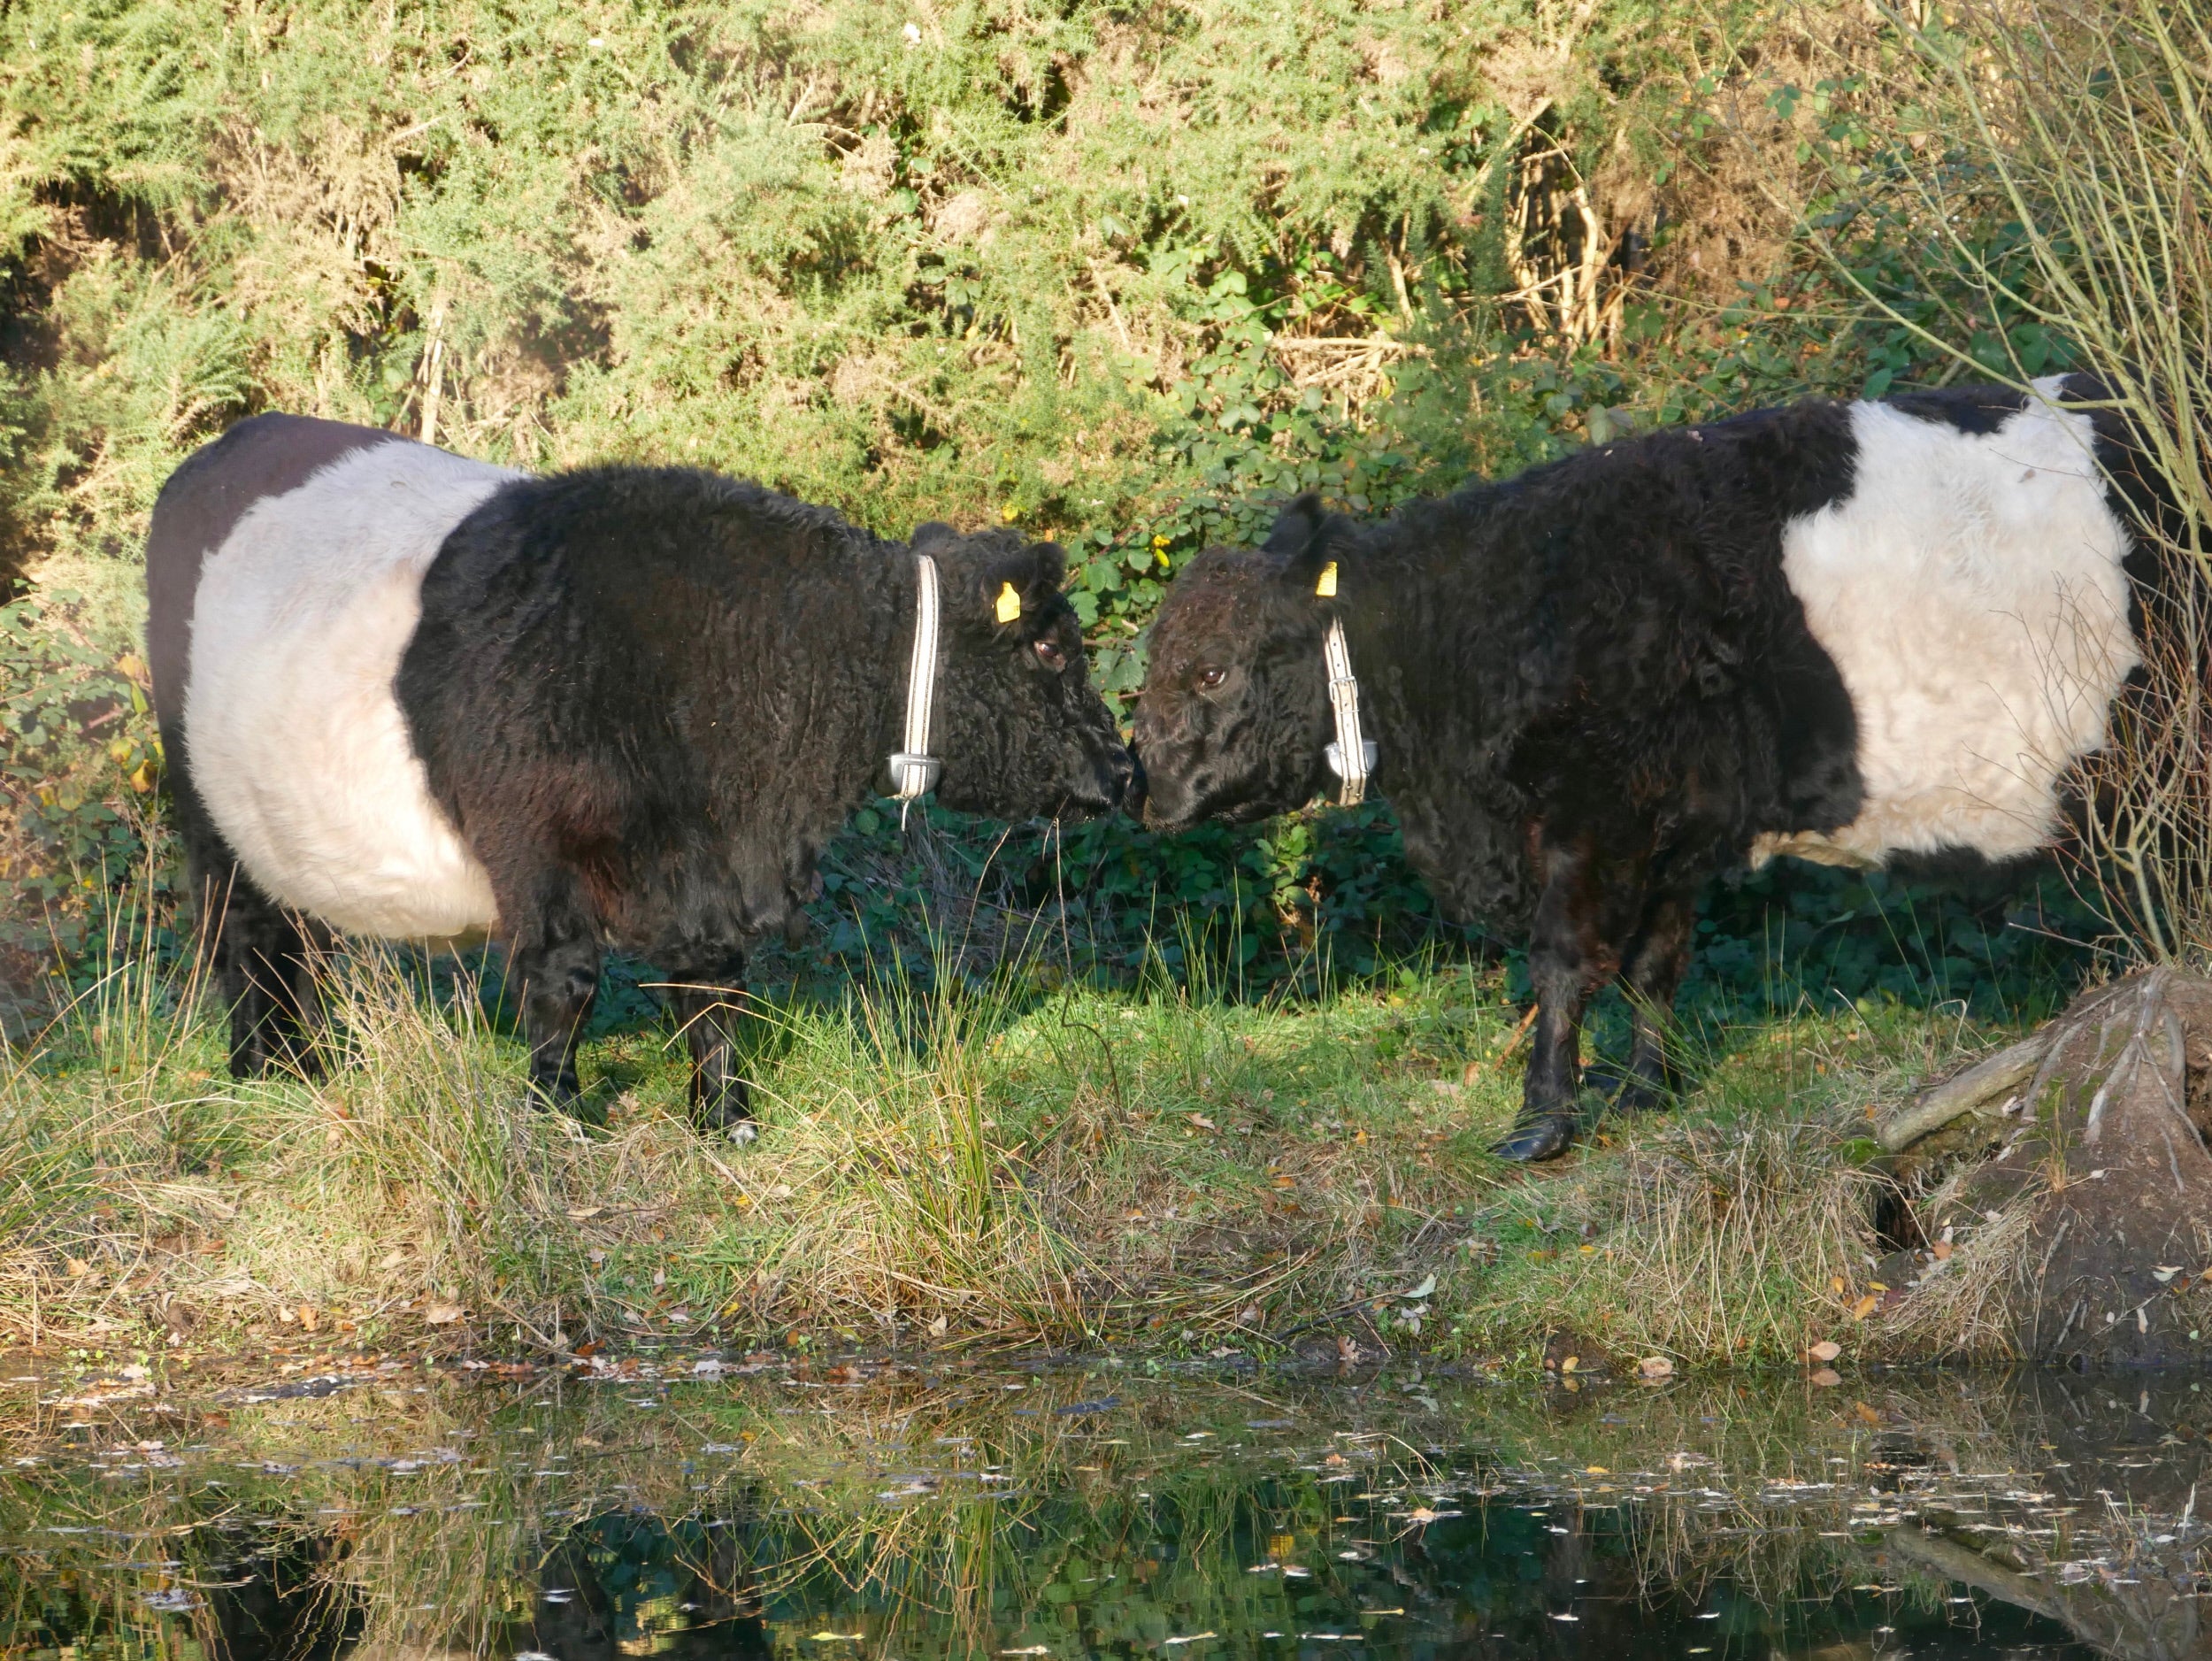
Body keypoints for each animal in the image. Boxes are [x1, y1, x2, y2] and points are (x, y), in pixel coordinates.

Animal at [146, 414, 1133, 1137]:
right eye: (1049, 646)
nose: (1122, 767)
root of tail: (230, 443)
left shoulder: (705, 873)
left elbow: (715, 988)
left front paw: (725, 1116)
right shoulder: (536, 847)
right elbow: (565, 984)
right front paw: (557, 1113)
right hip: (204, 799)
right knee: (243, 929)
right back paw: (267, 1067)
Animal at [1131, 374, 2166, 1160]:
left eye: (1211, 668)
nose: (1147, 785)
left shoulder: (1595, 815)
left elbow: (1565, 963)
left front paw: (1540, 1120)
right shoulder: (1672, 833)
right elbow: (1654, 965)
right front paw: (1642, 1092)